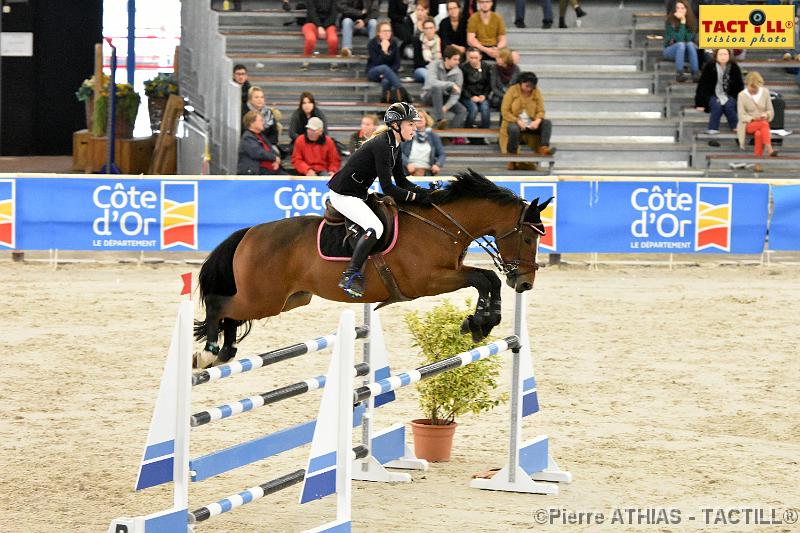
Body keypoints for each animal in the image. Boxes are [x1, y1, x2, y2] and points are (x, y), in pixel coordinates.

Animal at [194, 168, 552, 368]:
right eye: (527, 237)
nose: (525, 283)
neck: (441, 224)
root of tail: (249, 233)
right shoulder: (429, 281)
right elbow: (484, 278)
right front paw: (479, 322)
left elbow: (488, 280)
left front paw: (481, 323)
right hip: (264, 298)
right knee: (218, 304)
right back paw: (209, 353)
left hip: (288, 299)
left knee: (231, 313)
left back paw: (224, 352)